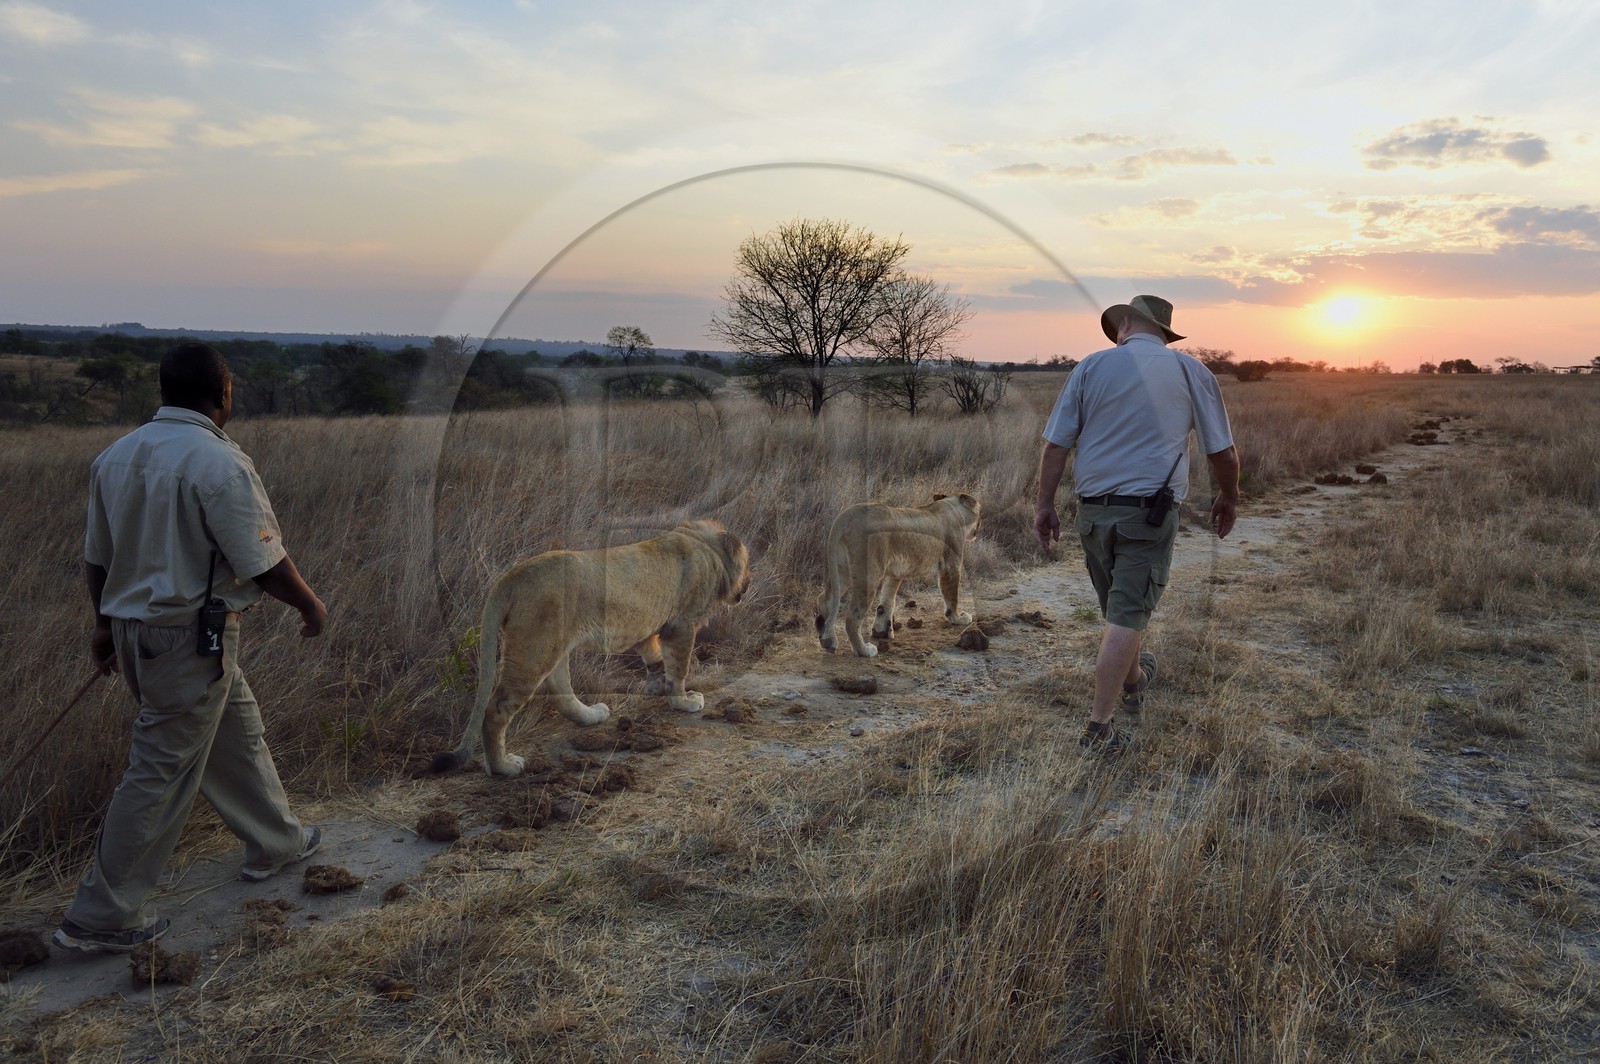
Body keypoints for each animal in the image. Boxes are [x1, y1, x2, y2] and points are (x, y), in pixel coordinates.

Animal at [432, 520, 751, 777]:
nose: (748, 584)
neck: (704, 544)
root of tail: (510, 578)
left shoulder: (646, 624)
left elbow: (654, 656)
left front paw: (657, 685)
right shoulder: (681, 625)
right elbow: (680, 667)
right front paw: (684, 700)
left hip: (554, 646)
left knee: (560, 692)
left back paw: (592, 715)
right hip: (534, 649)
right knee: (496, 710)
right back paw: (504, 767)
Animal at [815, 493, 980, 658]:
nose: (978, 529)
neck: (951, 507)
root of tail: (846, 516)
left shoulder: (895, 573)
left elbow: (887, 602)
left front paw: (881, 632)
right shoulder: (951, 565)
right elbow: (952, 596)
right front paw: (958, 618)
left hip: (842, 570)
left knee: (825, 599)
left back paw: (828, 641)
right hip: (869, 574)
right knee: (852, 617)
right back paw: (864, 650)